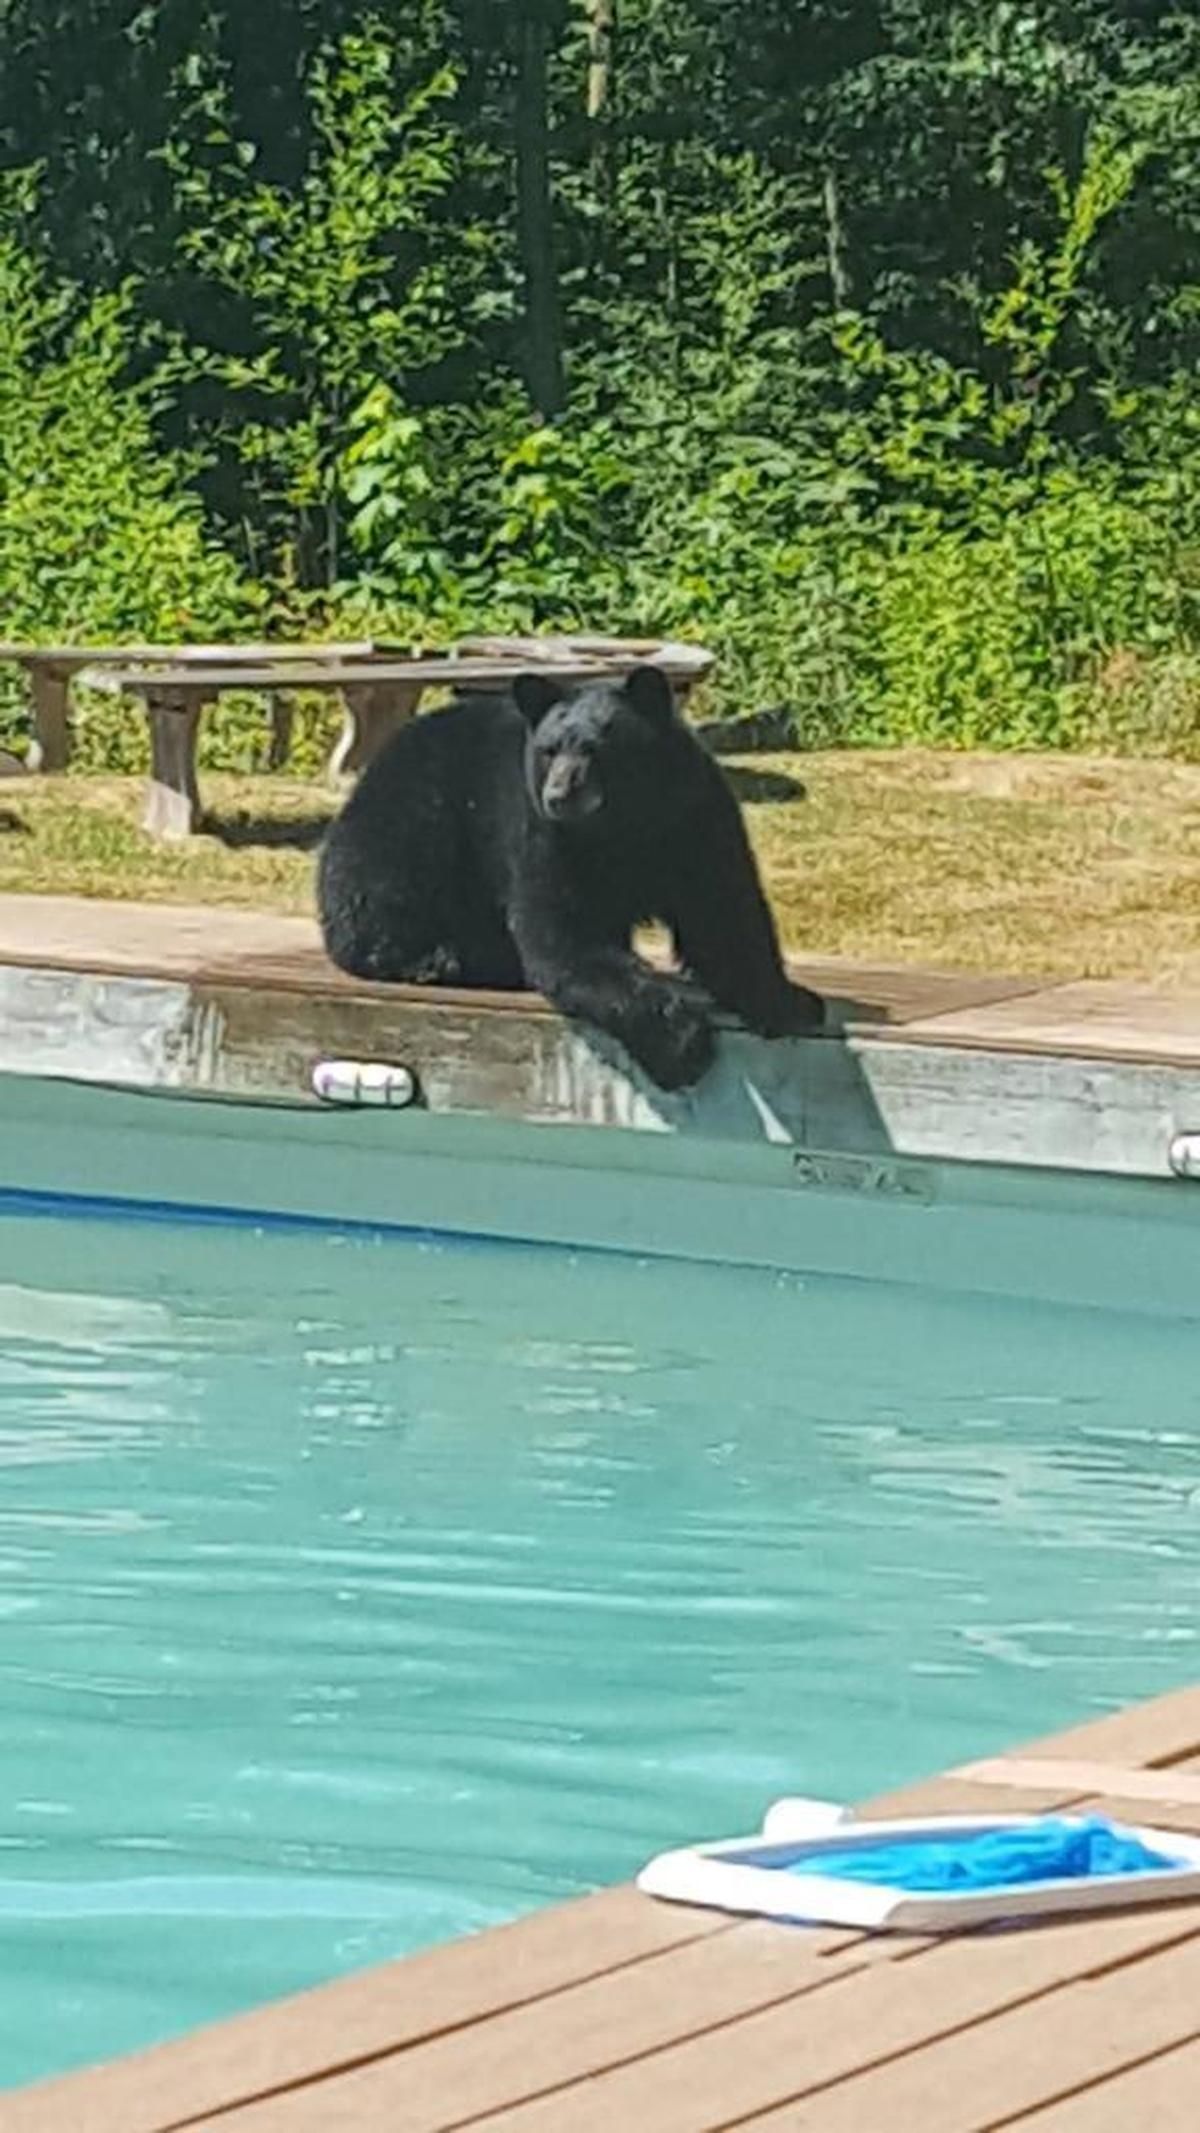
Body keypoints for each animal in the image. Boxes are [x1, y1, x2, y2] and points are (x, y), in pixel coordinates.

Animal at [317, 663, 822, 1091]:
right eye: (548, 750)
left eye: (594, 749)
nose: (558, 794)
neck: (623, 825)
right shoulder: (545, 837)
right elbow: (568, 940)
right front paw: (681, 1046)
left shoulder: (693, 816)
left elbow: (723, 912)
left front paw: (790, 1001)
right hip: (411, 817)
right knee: (379, 889)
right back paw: (439, 958)